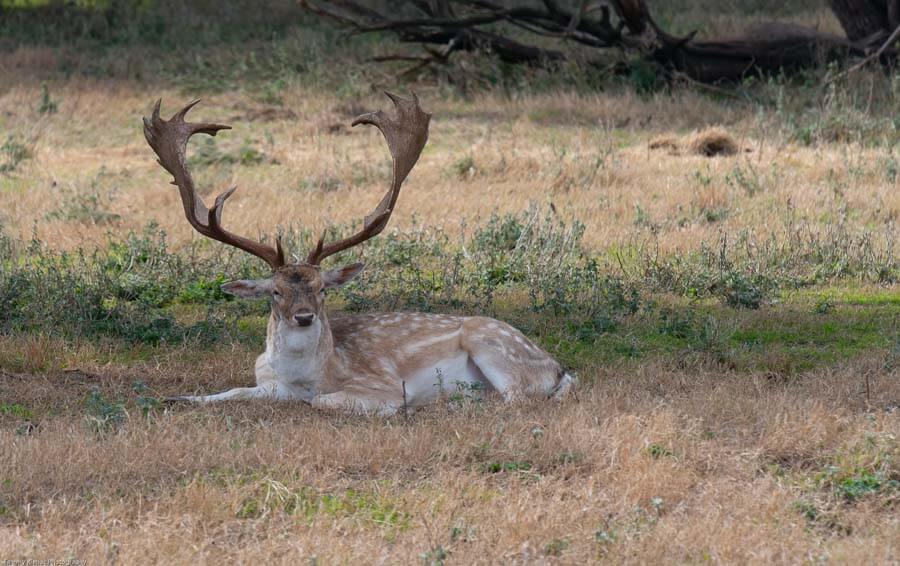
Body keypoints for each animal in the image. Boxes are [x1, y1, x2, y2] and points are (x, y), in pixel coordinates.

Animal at [143, 93, 574, 414]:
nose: (304, 317)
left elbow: (322, 402)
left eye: (322, 288)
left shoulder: (380, 384)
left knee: (517, 398)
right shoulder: (263, 381)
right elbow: (229, 392)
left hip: (493, 345)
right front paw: (174, 397)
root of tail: (557, 368)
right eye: (275, 292)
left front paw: (406, 405)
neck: (303, 377)